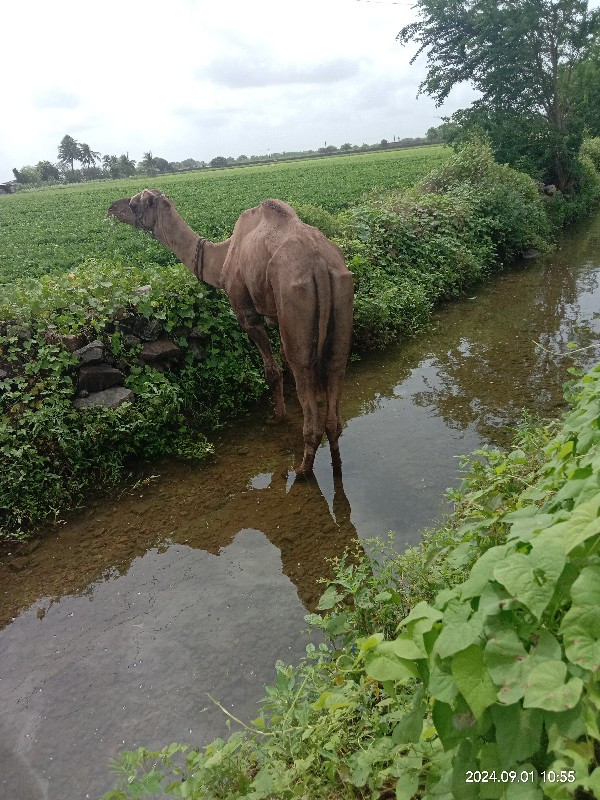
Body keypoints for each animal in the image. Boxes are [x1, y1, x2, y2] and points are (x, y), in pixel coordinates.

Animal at [108, 190, 354, 472]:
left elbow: (272, 370)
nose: (111, 208)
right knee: (335, 366)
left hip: (294, 293)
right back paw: (335, 460)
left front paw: (278, 417)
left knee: (301, 365)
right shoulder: (276, 315)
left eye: (135, 202)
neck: (223, 256)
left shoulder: (244, 308)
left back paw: (303, 468)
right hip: (342, 288)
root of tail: (319, 265)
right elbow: (282, 358)